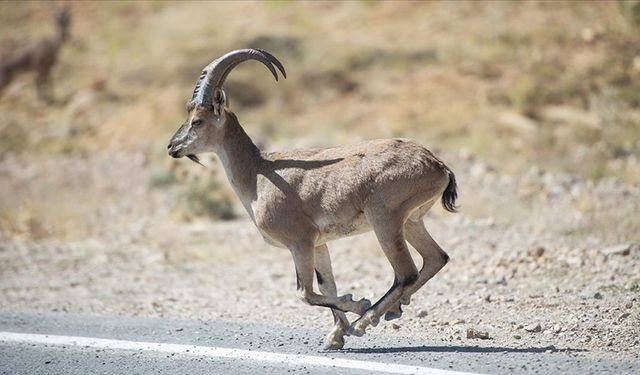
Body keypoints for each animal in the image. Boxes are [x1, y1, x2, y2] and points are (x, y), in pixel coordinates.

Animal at [168, 49, 458, 350]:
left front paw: (357, 306)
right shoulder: (319, 245)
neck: (259, 174)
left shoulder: (300, 242)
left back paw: (365, 321)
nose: (172, 146)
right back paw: (389, 311)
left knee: (406, 272)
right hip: (411, 221)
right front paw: (335, 337)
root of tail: (438, 166)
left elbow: (305, 293)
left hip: (385, 220)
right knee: (435, 258)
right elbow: (326, 285)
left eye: (197, 121)